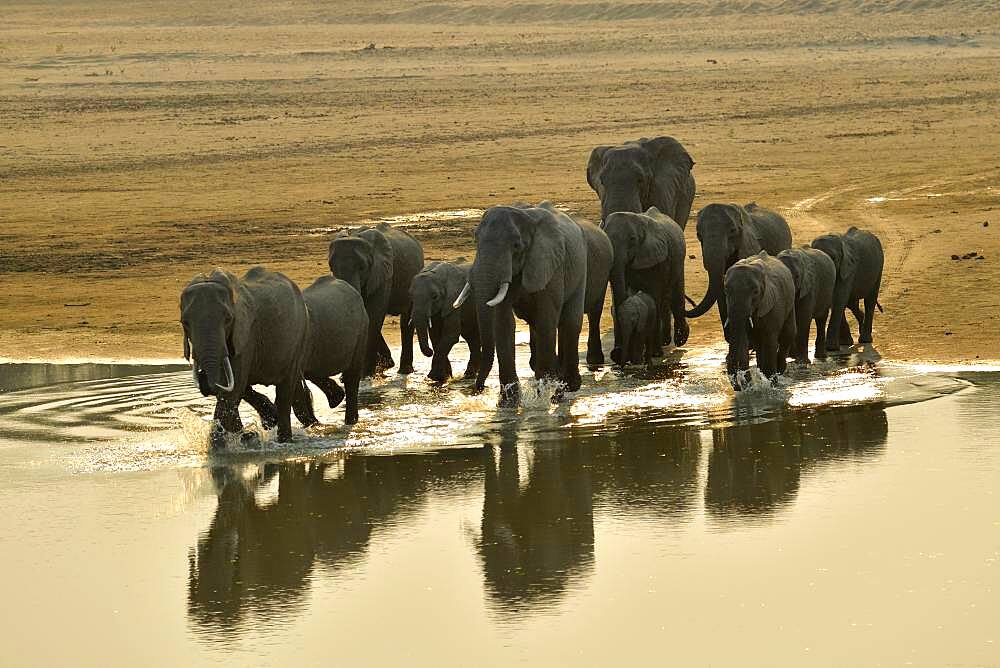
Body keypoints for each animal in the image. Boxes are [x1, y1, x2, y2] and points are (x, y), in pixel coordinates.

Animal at [328, 220, 422, 374]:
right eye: (331, 268)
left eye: (362, 267)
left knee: (406, 319)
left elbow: (373, 315)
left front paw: (366, 374)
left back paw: (404, 370)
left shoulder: (383, 273)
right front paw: (383, 366)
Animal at [458, 198, 588, 408]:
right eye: (475, 240)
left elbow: (546, 319)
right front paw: (508, 404)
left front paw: (541, 400)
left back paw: (565, 390)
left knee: (569, 323)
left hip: (581, 266)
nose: (476, 389)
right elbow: (503, 323)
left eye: (517, 246)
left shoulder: (550, 264)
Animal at [600, 206, 688, 362]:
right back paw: (665, 341)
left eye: (632, 239)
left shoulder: (657, 258)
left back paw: (679, 340)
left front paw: (655, 354)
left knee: (674, 293)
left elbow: (654, 295)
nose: (616, 352)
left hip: (678, 257)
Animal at [724, 252, 792, 392]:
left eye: (755, 292)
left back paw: (779, 371)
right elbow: (743, 341)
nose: (738, 386)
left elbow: (770, 341)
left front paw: (772, 386)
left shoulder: (772, 304)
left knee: (788, 334)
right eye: (726, 290)